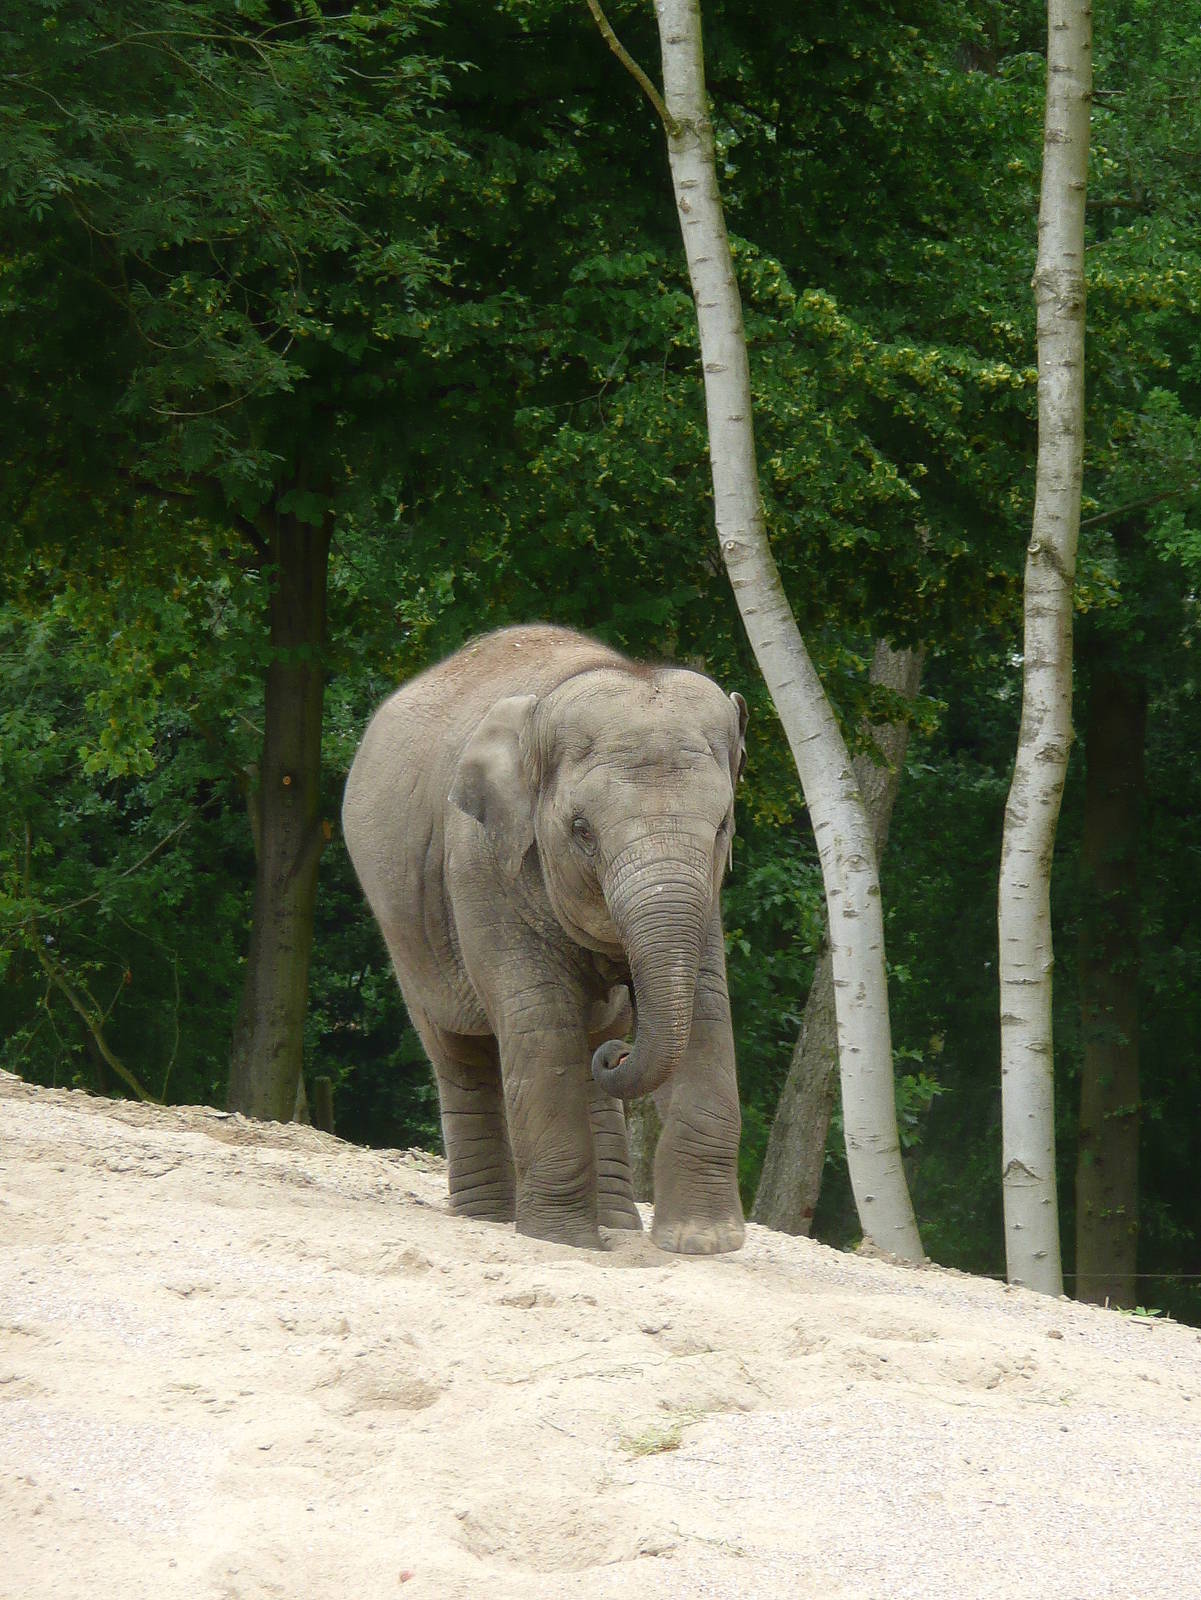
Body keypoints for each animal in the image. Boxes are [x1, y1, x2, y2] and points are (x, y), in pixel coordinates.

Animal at [341, 624, 748, 1254]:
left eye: (724, 825)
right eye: (582, 830)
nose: (622, 1053)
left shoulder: (704, 894)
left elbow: (705, 1008)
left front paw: (703, 1244)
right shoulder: (482, 861)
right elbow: (540, 1017)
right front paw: (563, 1241)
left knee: (588, 1042)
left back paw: (617, 1223)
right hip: (404, 927)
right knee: (460, 1052)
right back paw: (488, 1219)